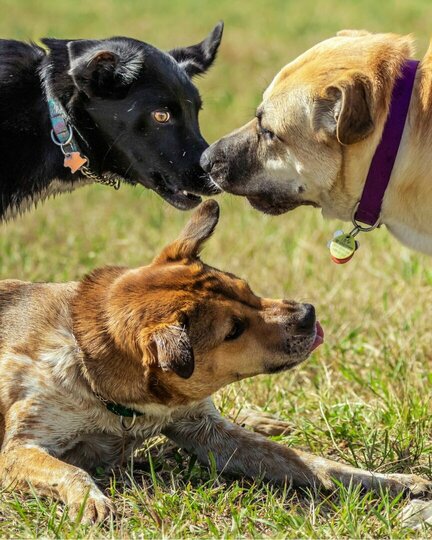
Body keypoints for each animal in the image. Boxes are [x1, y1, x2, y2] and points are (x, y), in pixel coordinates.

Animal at [0, 199, 428, 524]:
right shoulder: (17, 449)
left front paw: (394, 481)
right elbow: (69, 470)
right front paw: (91, 500)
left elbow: (316, 463)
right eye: (234, 330)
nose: (308, 313)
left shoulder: (206, 430)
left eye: (247, 288)